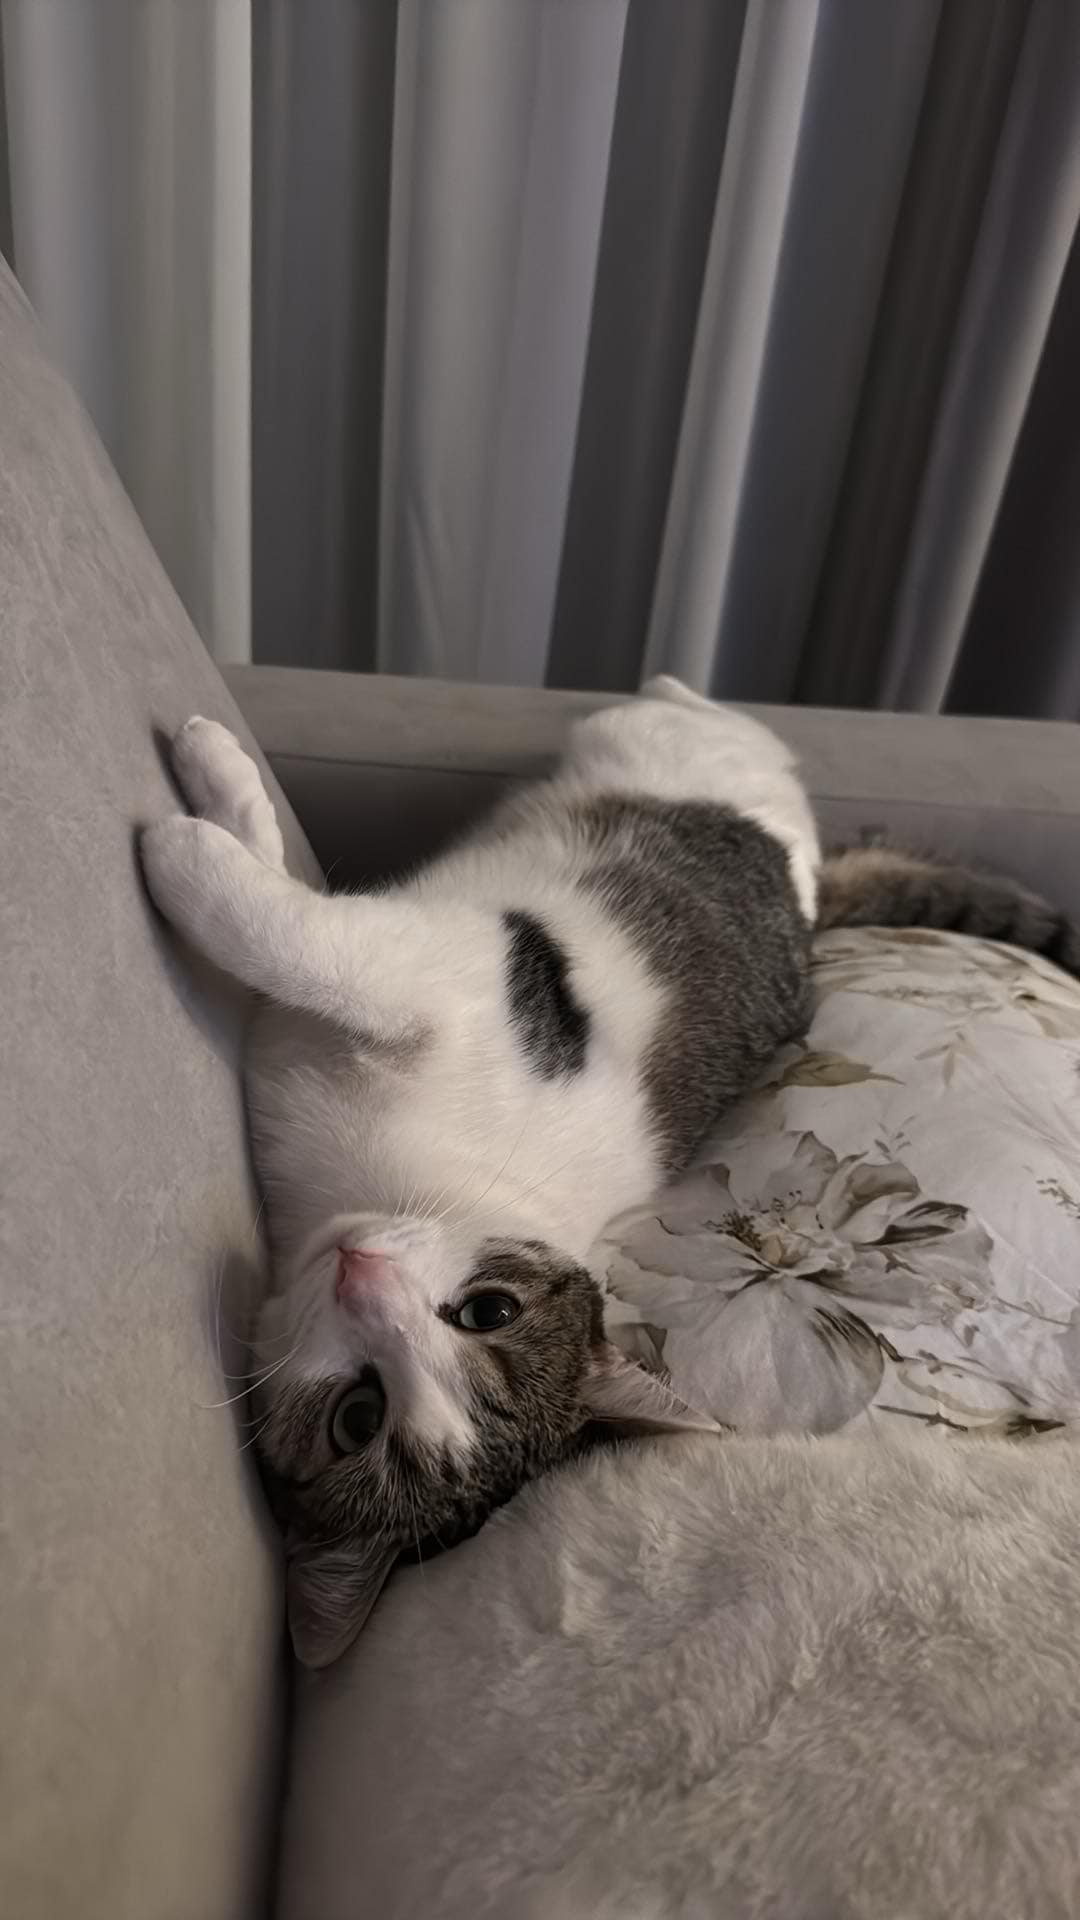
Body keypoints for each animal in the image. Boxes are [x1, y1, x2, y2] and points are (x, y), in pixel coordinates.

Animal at [141, 681, 1080, 1666]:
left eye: (360, 1416)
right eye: (490, 1311)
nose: (364, 1277)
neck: (382, 1184)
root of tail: (810, 887)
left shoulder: (444, 976)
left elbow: (305, 933)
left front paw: (186, 848)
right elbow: (298, 908)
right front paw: (225, 789)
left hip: (651, 761)